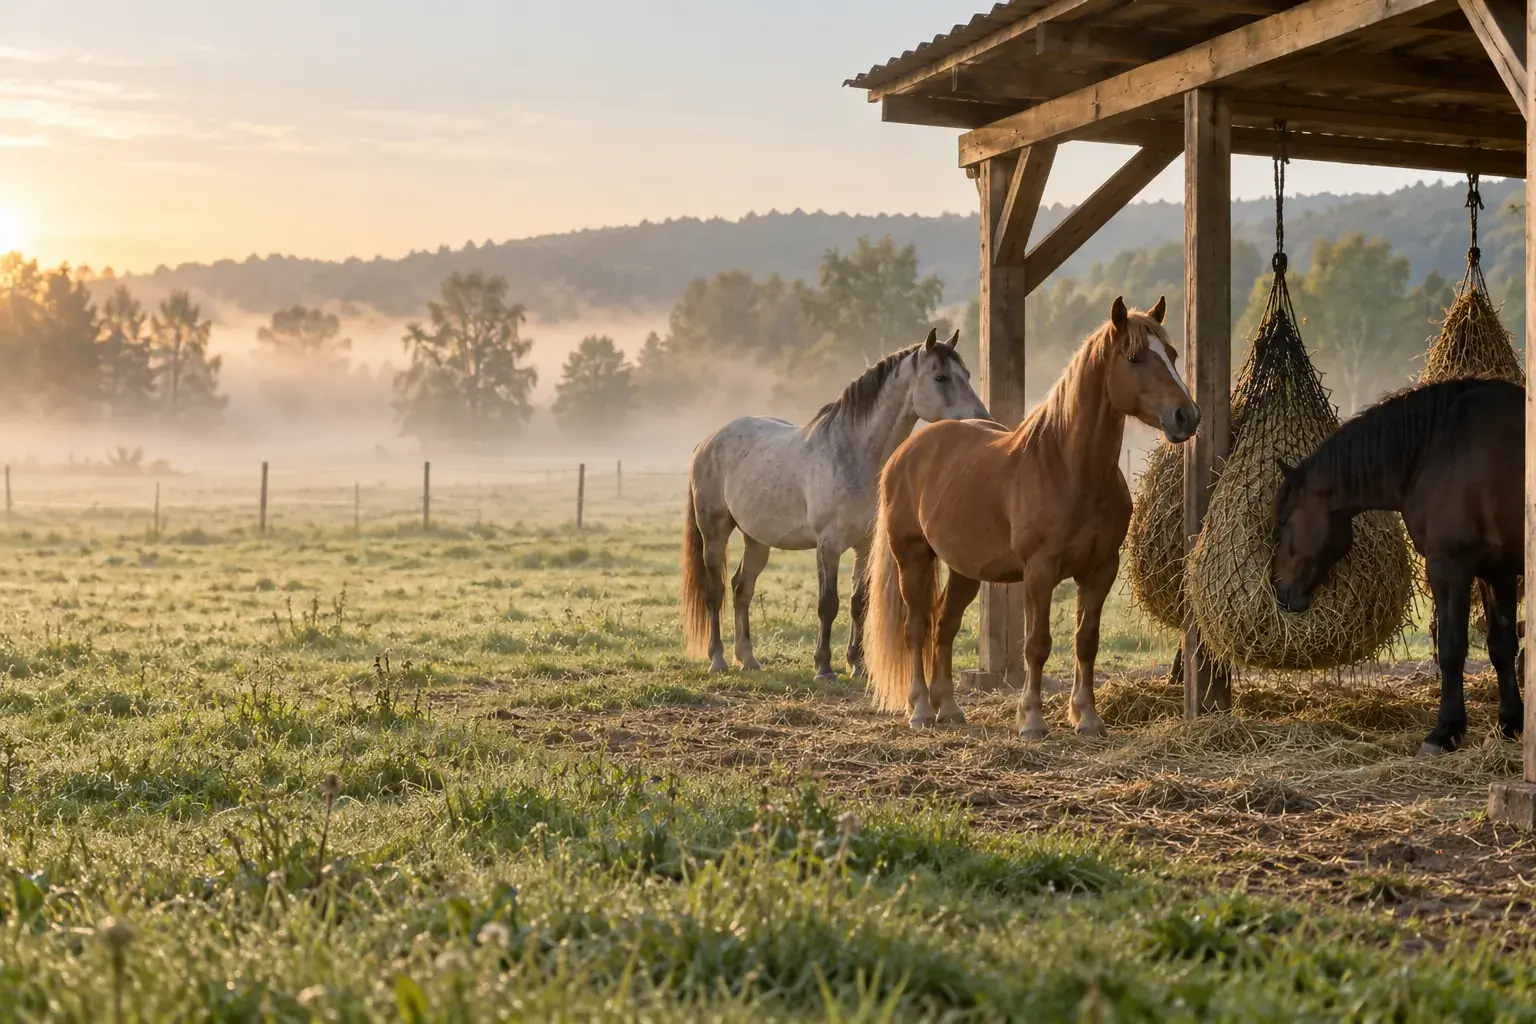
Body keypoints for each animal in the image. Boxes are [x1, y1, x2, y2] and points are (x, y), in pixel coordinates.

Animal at [681, 329, 989, 680]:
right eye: (941, 377)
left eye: (966, 375)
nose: (982, 420)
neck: (854, 454)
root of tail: (707, 441)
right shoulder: (828, 545)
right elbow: (828, 603)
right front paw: (824, 667)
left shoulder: (864, 545)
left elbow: (858, 602)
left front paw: (857, 665)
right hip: (715, 532)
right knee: (715, 591)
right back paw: (717, 659)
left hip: (757, 540)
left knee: (741, 588)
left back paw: (748, 658)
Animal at [865, 297, 1200, 734]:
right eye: (1135, 357)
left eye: (1173, 355)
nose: (1186, 416)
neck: (1070, 470)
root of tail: (905, 452)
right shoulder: (1040, 572)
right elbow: (1037, 645)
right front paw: (1033, 719)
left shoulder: (1101, 570)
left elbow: (1086, 641)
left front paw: (1087, 717)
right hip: (912, 558)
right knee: (917, 626)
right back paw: (921, 708)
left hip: (964, 570)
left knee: (944, 625)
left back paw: (950, 708)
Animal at [1271, 376, 1524, 757]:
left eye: (1284, 519)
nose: (1280, 589)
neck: (1436, 449)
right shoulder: (1498, 572)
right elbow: (1502, 646)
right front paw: (1510, 724)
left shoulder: (1449, 566)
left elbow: (1451, 650)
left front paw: (1444, 732)